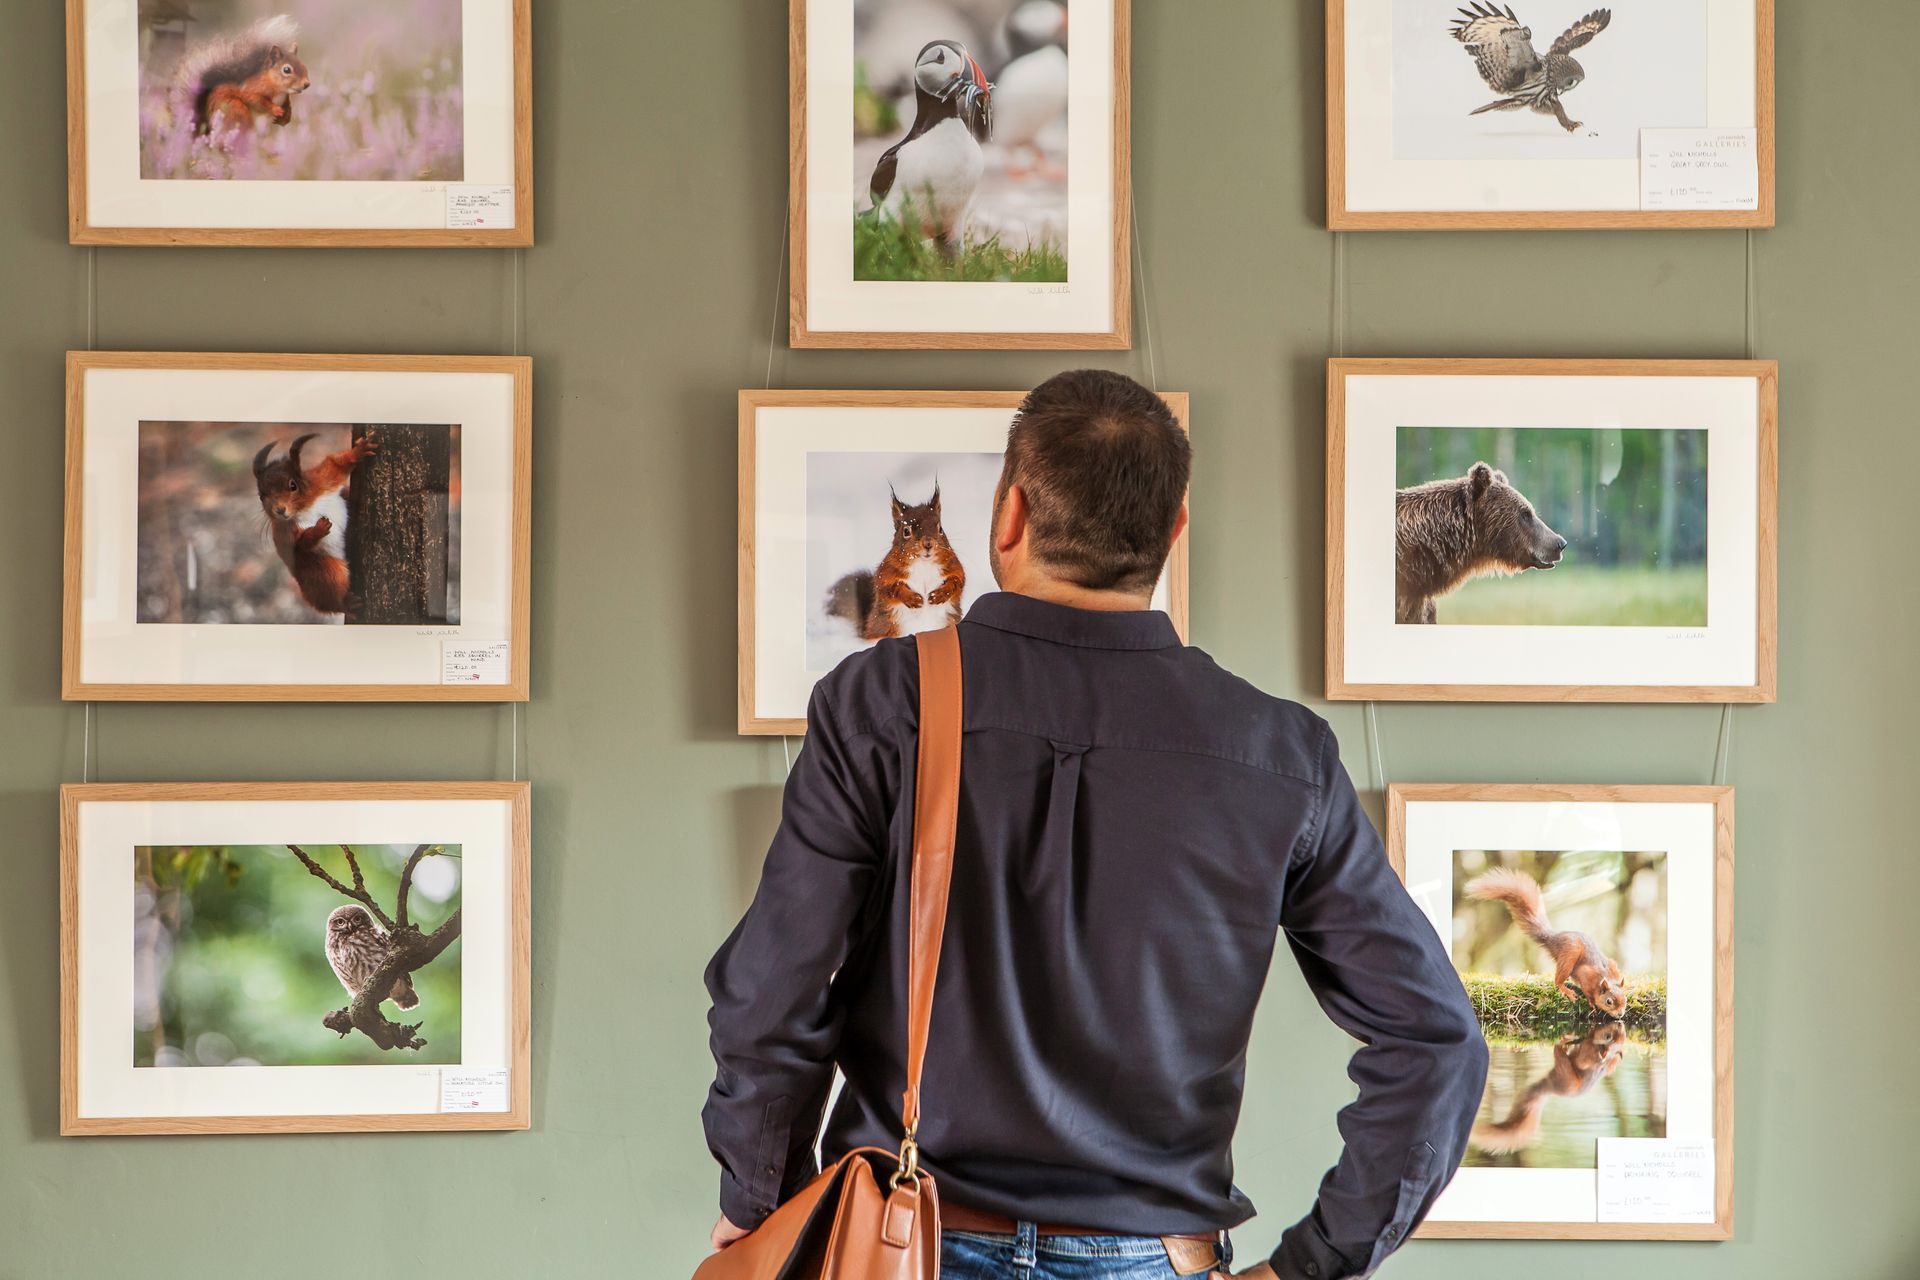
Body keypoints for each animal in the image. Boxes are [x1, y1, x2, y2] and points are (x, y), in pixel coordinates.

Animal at [249, 429, 376, 621]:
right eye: (261, 496)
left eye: (293, 485)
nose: (279, 510)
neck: (305, 507)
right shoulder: (285, 533)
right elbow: (301, 545)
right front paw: (318, 529)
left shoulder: (323, 479)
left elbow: (336, 464)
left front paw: (360, 450)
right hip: (325, 571)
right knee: (333, 597)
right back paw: (346, 604)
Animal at [1466, 871, 1620, 1020]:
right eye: (1609, 1001)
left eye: (1624, 1000)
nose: (1620, 1014)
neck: (1604, 977)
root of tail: (1553, 938)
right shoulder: (1586, 975)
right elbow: (1588, 991)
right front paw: (1592, 1003)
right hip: (1570, 953)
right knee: (1558, 980)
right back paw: (1565, 989)